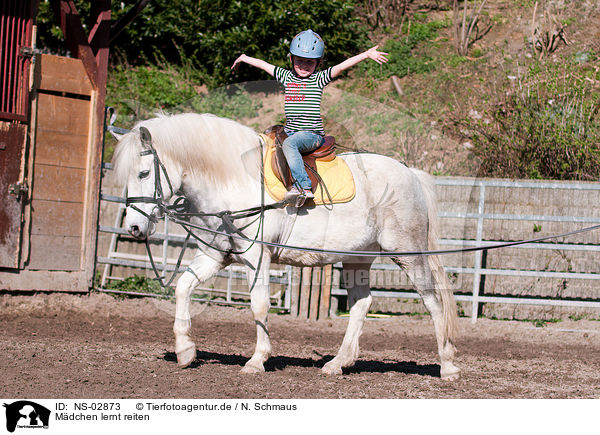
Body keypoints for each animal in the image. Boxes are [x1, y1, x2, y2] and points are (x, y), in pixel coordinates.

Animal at [112, 113, 460, 382]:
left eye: (144, 173)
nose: (134, 227)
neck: (232, 182)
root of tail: (410, 173)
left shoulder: (256, 258)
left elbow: (259, 306)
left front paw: (256, 361)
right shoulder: (215, 256)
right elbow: (183, 287)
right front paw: (185, 350)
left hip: (408, 254)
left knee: (433, 302)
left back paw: (448, 366)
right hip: (357, 258)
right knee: (362, 304)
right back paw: (337, 364)